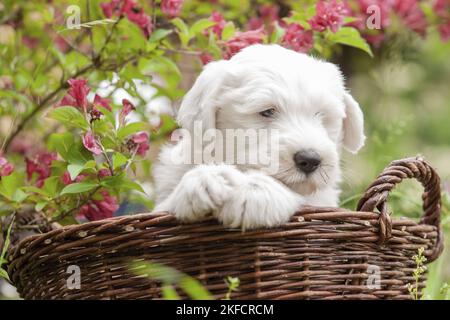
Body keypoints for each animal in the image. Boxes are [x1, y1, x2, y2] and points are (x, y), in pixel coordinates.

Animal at [153, 44, 364, 230]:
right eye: (267, 111)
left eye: (320, 115)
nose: (310, 160)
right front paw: (205, 180)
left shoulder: (320, 202)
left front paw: (255, 192)